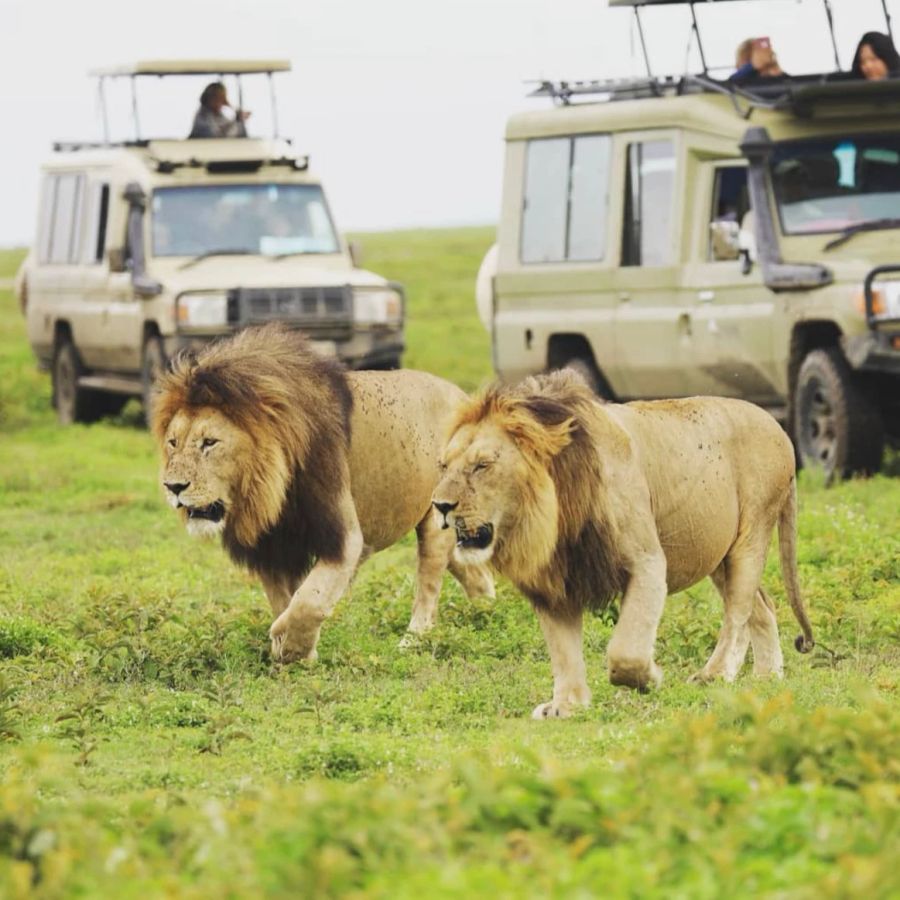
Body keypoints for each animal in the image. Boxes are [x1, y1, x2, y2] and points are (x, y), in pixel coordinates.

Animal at [153, 324, 492, 660]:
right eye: (173, 442)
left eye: (209, 443)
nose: (173, 487)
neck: (267, 490)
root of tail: (463, 397)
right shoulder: (272, 547)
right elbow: (286, 600)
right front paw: (295, 653)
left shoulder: (342, 537)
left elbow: (308, 600)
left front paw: (287, 644)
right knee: (472, 571)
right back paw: (487, 611)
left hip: (436, 521)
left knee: (429, 585)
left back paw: (413, 641)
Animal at [432, 370, 820, 720]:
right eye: (443, 465)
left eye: (482, 465)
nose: (440, 505)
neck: (553, 514)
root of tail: (779, 428)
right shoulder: (554, 583)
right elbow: (564, 652)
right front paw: (566, 705)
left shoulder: (647, 562)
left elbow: (625, 649)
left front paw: (647, 678)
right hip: (718, 556)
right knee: (763, 607)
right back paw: (767, 677)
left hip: (751, 535)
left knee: (737, 613)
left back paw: (715, 674)